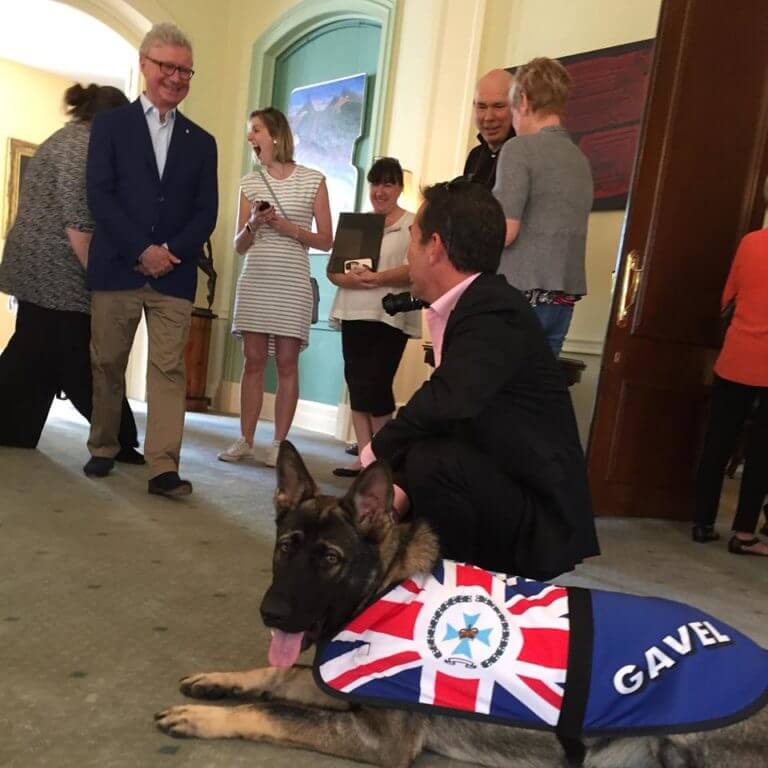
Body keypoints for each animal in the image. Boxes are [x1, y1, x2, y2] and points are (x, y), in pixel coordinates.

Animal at [156, 440, 768, 764]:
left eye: (329, 558)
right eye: (287, 547)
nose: (273, 614)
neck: (385, 585)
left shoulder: (379, 739)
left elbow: (272, 709)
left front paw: (206, 717)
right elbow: (280, 675)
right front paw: (220, 680)